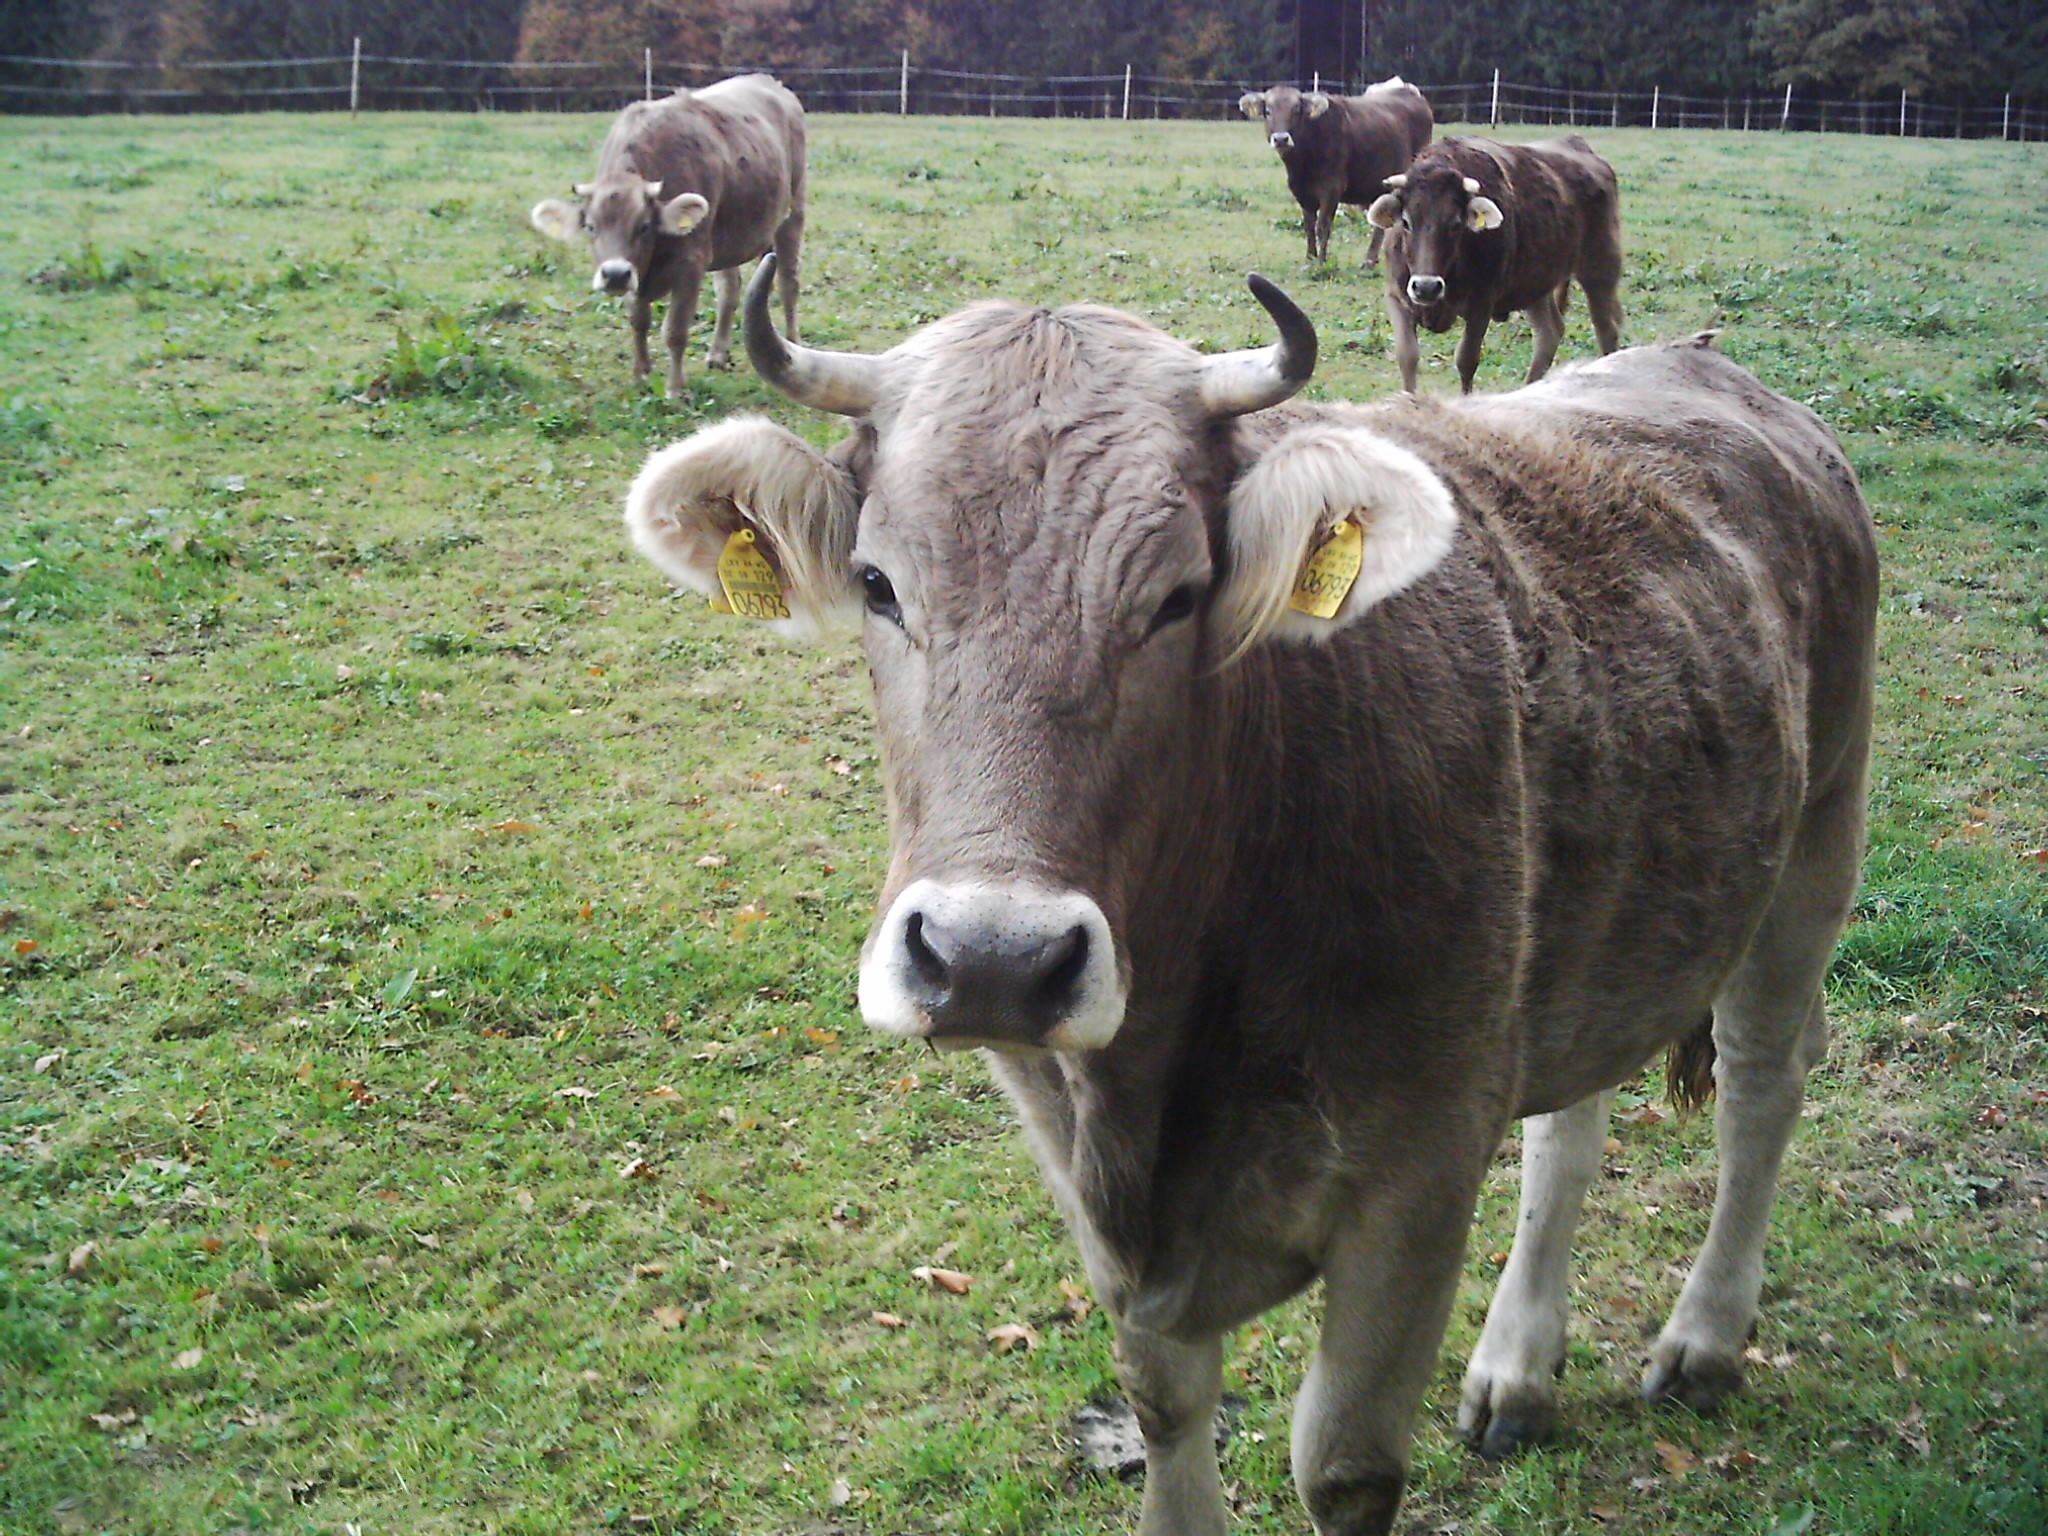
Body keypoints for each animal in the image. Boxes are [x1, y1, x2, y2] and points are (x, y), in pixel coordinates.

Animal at [528, 73, 806, 397]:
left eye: (643, 226)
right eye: (591, 227)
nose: (614, 275)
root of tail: (767, 80)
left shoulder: (691, 261)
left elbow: (675, 330)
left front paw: (676, 389)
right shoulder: (638, 274)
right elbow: (638, 320)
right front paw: (641, 375)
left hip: (793, 212)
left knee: (788, 284)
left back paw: (793, 347)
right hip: (727, 238)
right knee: (729, 290)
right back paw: (718, 353)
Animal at [1236, 79, 1433, 268]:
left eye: (1296, 110)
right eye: (1268, 111)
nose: (1281, 139)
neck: (1303, 165)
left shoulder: (1331, 188)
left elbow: (1322, 226)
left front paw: (1321, 263)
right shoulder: (1300, 191)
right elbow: (1309, 226)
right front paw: (1309, 259)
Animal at [1376, 133, 1630, 393]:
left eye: (1456, 224)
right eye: (1405, 222)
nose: (1426, 287)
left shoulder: (1482, 303)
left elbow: (1466, 360)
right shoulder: (1396, 296)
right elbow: (1407, 356)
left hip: (1600, 267)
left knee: (1606, 330)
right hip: (1536, 282)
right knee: (1550, 333)